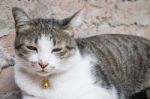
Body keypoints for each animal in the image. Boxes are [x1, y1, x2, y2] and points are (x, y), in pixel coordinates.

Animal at [12, 7, 150, 99]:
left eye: (57, 50)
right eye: (31, 47)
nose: (43, 64)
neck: (47, 81)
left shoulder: (104, 92)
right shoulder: (29, 95)